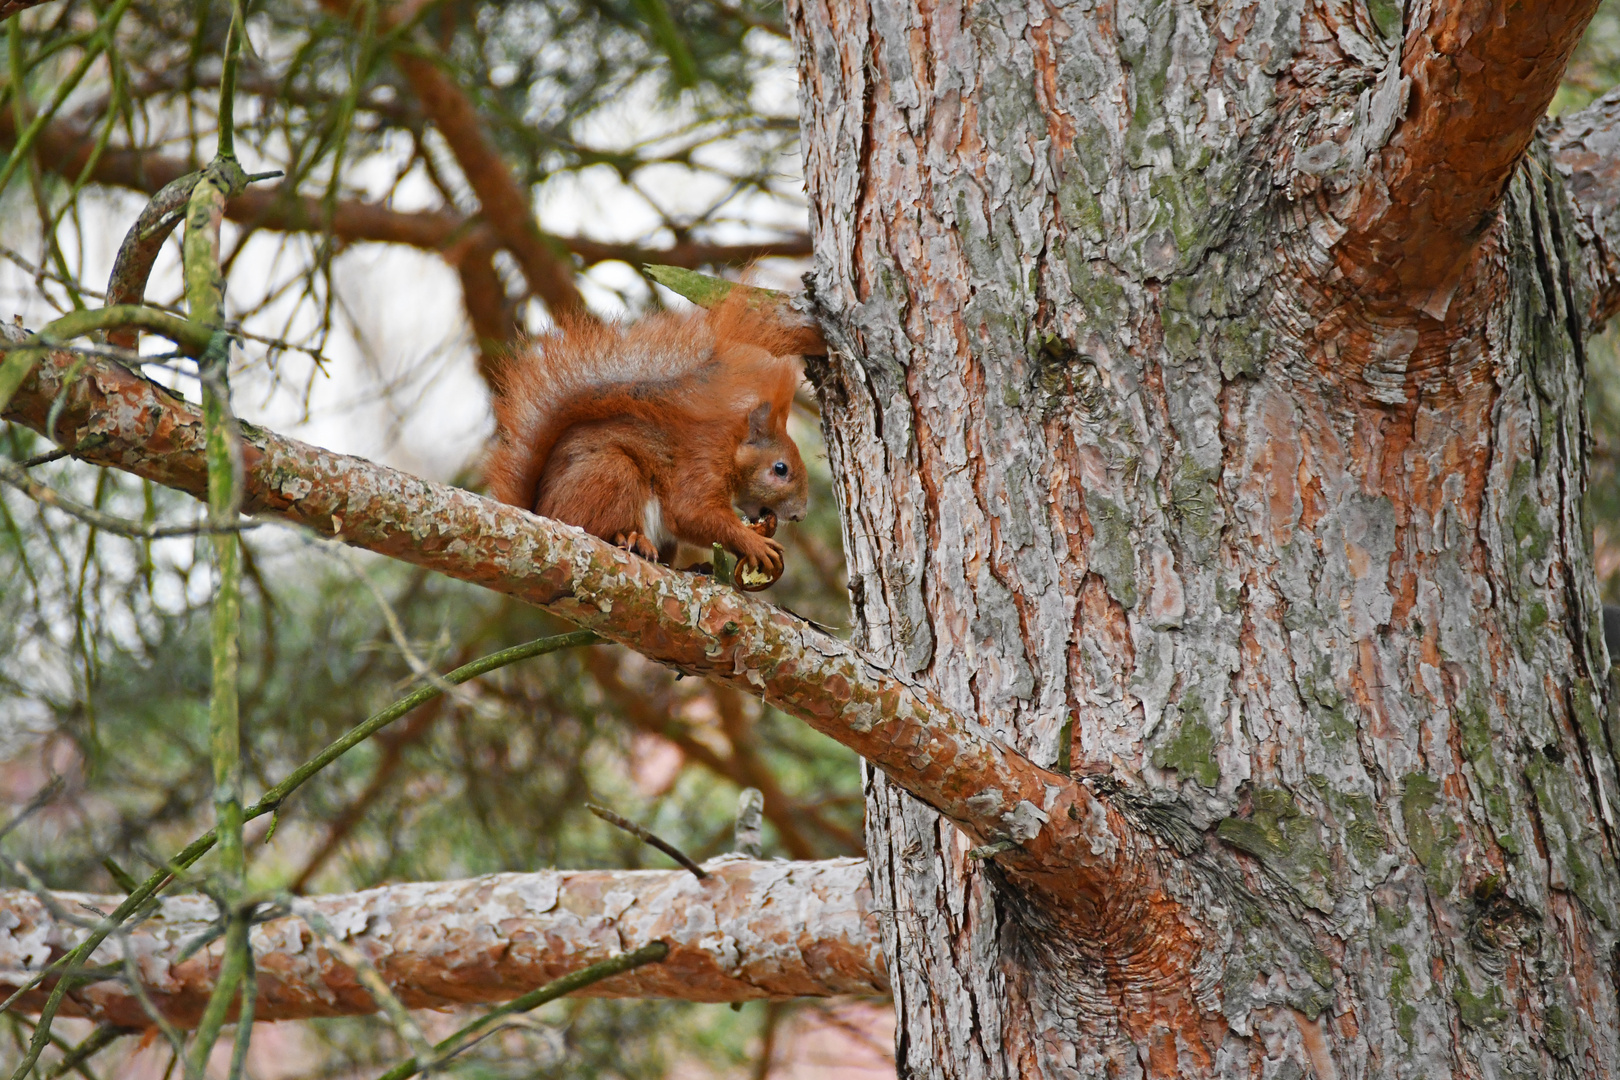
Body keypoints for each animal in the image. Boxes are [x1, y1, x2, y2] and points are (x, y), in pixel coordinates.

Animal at [476, 293, 810, 582]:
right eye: (781, 469)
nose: (799, 515)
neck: (728, 448)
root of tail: (541, 510)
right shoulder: (700, 467)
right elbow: (693, 514)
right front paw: (753, 542)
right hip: (611, 475)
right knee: (599, 527)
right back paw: (633, 538)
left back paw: (694, 566)